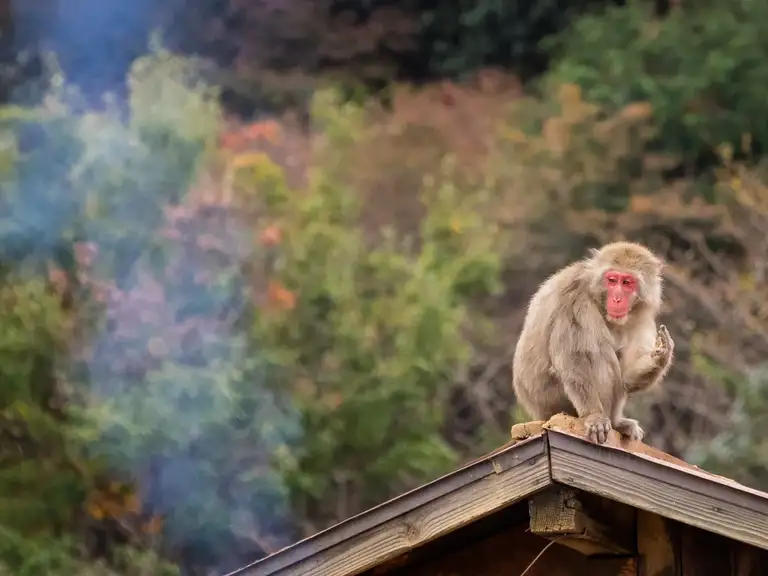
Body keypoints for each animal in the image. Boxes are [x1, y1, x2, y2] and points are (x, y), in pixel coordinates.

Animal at [512, 241, 674, 444]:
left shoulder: (640, 318)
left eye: (627, 282)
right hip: (554, 403)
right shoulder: (575, 300)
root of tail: (538, 413)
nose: (617, 299)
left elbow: (627, 377)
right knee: (599, 353)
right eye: (612, 280)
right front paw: (594, 416)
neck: (598, 300)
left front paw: (660, 356)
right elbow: (573, 359)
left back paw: (618, 423)